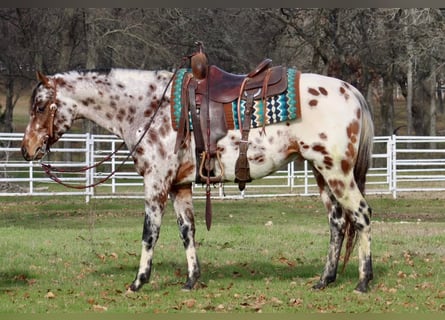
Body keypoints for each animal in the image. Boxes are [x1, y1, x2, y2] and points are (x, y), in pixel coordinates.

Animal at [21, 61, 374, 294]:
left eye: (39, 106)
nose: (27, 150)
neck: (149, 107)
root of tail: (350, 91)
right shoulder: (179, 186)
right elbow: (186, 231)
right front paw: (192, 279)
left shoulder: (156, 182)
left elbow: (150, 233)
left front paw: (138, 281)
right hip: (321, 173)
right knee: (337, 222)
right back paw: (325, 279)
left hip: (336, 171)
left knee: (361, 215)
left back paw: (362, 281)